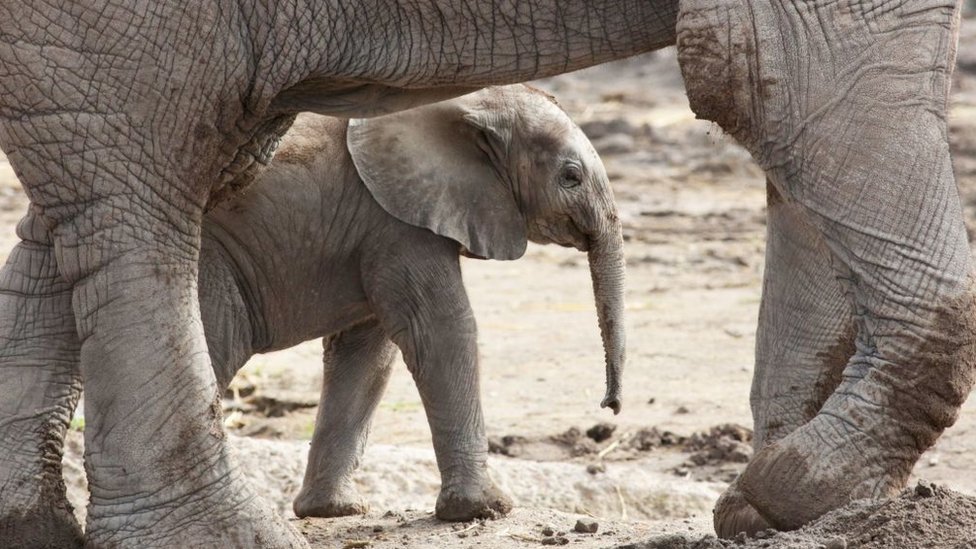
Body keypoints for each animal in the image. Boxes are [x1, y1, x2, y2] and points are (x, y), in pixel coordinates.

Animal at [199, 84, 628, 520]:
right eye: (571, 177)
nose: (609, 405)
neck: (468, 101)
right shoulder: (398, 222)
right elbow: (443, 329)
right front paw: (483, 508)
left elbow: (368, 354)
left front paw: (334, 510)